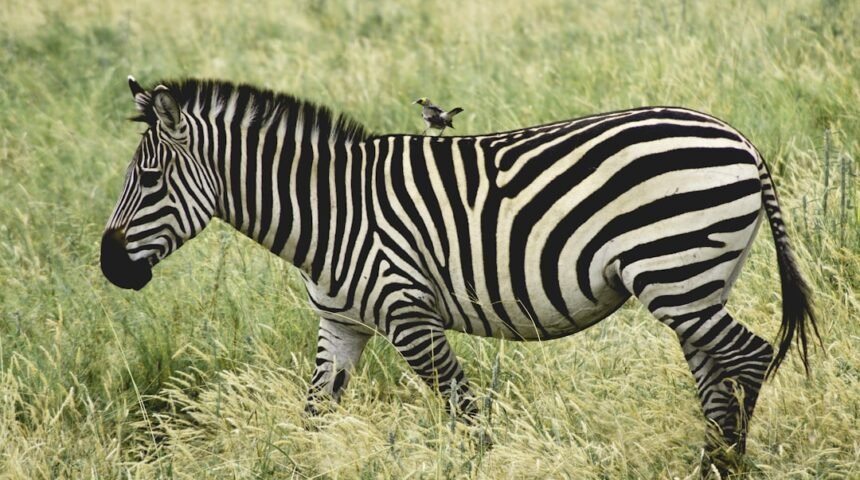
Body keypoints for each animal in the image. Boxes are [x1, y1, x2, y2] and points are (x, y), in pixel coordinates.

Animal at [101, 77, 818, 474]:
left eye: (149, 180)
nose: (109, 266)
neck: (327, 214)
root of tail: (740, 139)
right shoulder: (341, 324)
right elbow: (315, 416)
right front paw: (302, 466)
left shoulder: (407, 313)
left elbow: (464, 413)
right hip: (695, 278)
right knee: (716, 379)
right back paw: (713, 465)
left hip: (675, 272)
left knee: (750, 358)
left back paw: (731, 464)